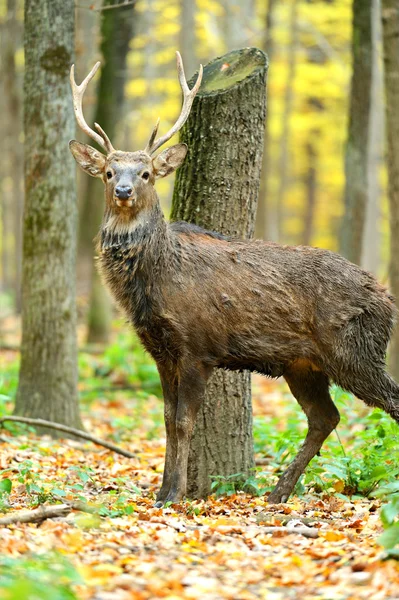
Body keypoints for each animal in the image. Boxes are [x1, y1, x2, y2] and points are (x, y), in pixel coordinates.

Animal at [69, 52, 399, 506]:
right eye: (107, 171)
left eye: (146, 173)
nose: (122, 190)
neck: (155, 282)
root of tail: (386, 299)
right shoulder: (160, 350)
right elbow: (167, 419)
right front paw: (161, 491)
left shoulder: (197, 346)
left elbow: (184, 422)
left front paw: (175, 495)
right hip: (303, 363)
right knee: (324, 417)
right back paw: (278, 492)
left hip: (356, 350)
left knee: (388, 401)